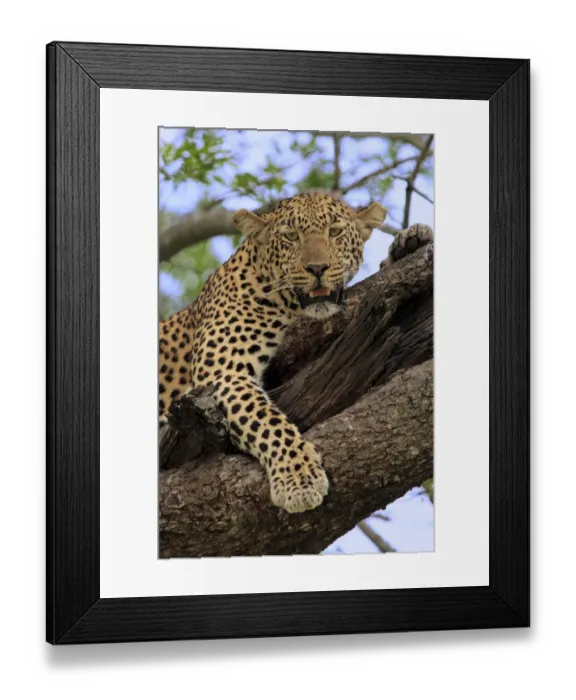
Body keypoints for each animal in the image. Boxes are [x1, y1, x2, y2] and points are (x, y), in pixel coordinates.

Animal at [159, 192, 433, 514]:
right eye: (291, 236)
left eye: (335, 232)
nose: (317, 268)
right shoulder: (224, 371)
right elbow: (267, 421)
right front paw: (298, 479)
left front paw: (409, 243)